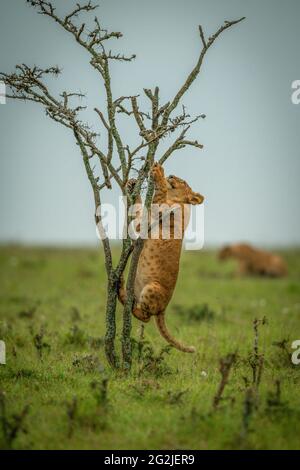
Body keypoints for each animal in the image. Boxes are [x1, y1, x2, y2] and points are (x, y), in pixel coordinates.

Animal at [119, 163, 204, 350]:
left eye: (183, 181)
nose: (171, 175)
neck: (177, 201)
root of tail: (163, 309)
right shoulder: (142, 222)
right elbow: (138, 209)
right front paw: (131, 184)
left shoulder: (160, 211)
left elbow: (159, 194)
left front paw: (159, 172)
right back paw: (119, 285)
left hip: (152, 288)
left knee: (145, 317)